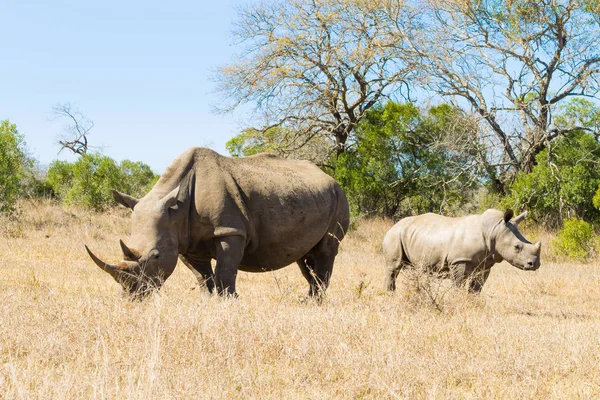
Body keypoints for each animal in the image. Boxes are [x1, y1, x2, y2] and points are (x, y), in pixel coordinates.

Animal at [84, 147, 350, 296]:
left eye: (156, 256)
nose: (133, 295)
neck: (175, 208)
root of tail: (330, 178)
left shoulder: (230, 231)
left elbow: (225, 273)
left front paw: (228, 301)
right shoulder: (185, 241)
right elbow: (203, 278)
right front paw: (207, 301)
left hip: (339, 196)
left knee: (326, 250)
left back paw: (314, 303)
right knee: (305, 258)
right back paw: (307, 301)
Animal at [384, 209, 544, 294]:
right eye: (517, 247)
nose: (535, 264)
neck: (494, 230)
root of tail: (394, 225)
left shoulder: (485, 264)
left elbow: (477, 286)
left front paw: (472, 302)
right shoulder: (460, 260)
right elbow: (458, 284)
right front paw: (457, 300)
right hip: (395, 235)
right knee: (394, 267)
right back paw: (390, 294)